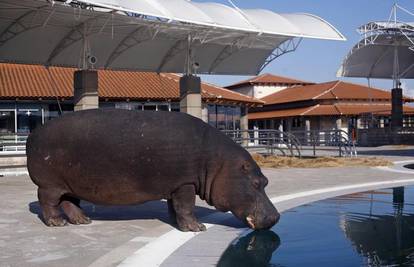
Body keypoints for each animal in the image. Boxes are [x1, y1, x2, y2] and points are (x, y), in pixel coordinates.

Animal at [26, 109, 282, 232]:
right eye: (256, 184)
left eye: (266, 182)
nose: (276, 217)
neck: (219, 164)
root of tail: (34, 133)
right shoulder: (186, 183)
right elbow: (186, 206)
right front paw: (197, 228)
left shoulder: (176, 184)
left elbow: (176, 207)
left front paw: (177, 223)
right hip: (50, 184)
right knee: (48, 202)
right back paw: (57, 223)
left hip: (70, 184)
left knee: (70, 202)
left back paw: (83, 221)